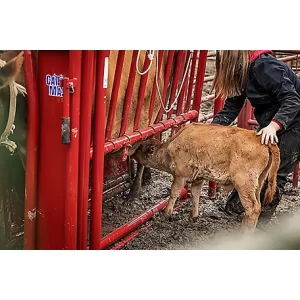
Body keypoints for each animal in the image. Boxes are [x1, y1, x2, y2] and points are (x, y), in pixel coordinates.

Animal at [132, 123, 280, 233]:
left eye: (140, 148)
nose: (131, 153)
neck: (169, 148)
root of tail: (258, 138)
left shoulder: (180, 176)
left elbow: (174, 193)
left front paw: (166, 215)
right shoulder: (198, 178)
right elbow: (195, 195)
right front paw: (194, 217)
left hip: (244, 184)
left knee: (253, 208)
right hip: (258, 182)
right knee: (257, 206)